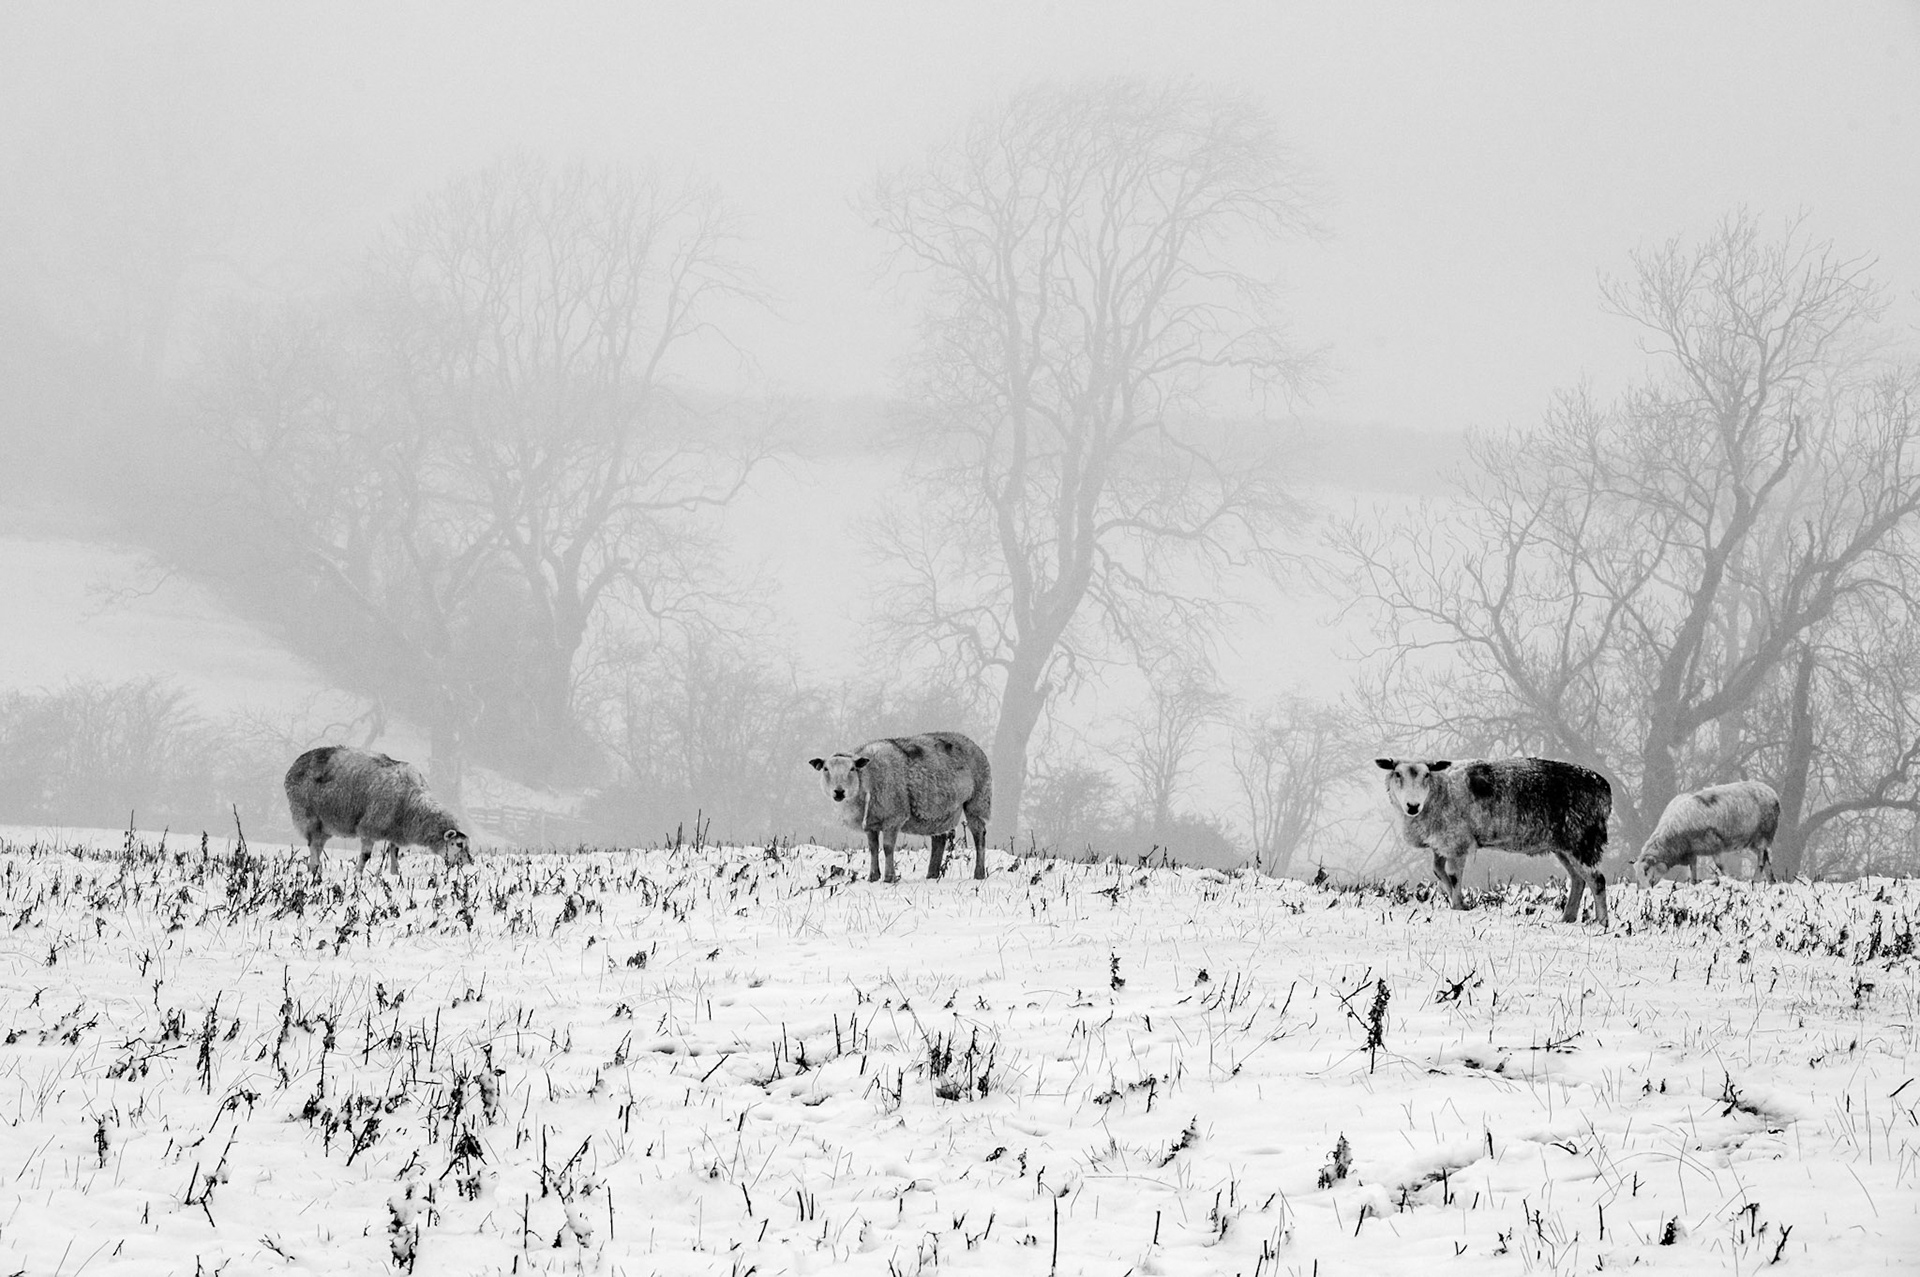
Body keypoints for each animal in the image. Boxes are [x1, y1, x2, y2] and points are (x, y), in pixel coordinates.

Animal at [285, 745, 474, 876]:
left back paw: (313, 869)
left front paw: (395, 874)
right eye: (458, 844)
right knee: (312, 845)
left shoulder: (395, 830)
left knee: (317, 845)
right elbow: (366, 856)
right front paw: (357, 875)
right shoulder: (370, 827)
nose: (469, 864)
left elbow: (394, 853)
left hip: (325, 825)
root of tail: (296, 764)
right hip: (308, 816)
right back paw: (316, 868)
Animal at [809, 732, 992, 883]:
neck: (867, 778)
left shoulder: (893, 817)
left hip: (977, 800)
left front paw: (889, 877)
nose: (839, 792)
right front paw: (873, 877)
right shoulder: (871, 822)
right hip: (938, 811)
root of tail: (972, 743)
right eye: (826, 769)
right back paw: (931, 875)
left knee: (979, 835)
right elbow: (873, 848)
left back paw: (979, 874)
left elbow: (888, 848)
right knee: (939, 840)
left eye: (852, 768)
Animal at [1375, 756, 1612, 925]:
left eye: (1426, 775)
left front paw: (1459, 906)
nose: (1412, 806)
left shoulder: (1457, 841)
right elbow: (1438, 871)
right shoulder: (1442, 844)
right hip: (1564, 844)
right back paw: (1567, 918)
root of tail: (1604, 788)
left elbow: (1453, 876)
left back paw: (1601, 923)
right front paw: (1458, 901)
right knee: (1579, 879)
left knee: (1597, 880)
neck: (1438, 792)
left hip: (1582, 839)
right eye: (1397, 774)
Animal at [1634, 779, 1778, 885]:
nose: (1645, 890)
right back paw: (1771, 881)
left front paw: (1729, 879)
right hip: (1752, 841)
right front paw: (1693, 883)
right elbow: (1692, 868)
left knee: (1761, 859)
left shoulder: (1713, 843)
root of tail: (1770, 791)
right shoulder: (1691, 849)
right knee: (1766, 858)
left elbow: (1720, 865)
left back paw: (1756, 880)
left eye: (1646, 870)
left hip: (1763, 834)